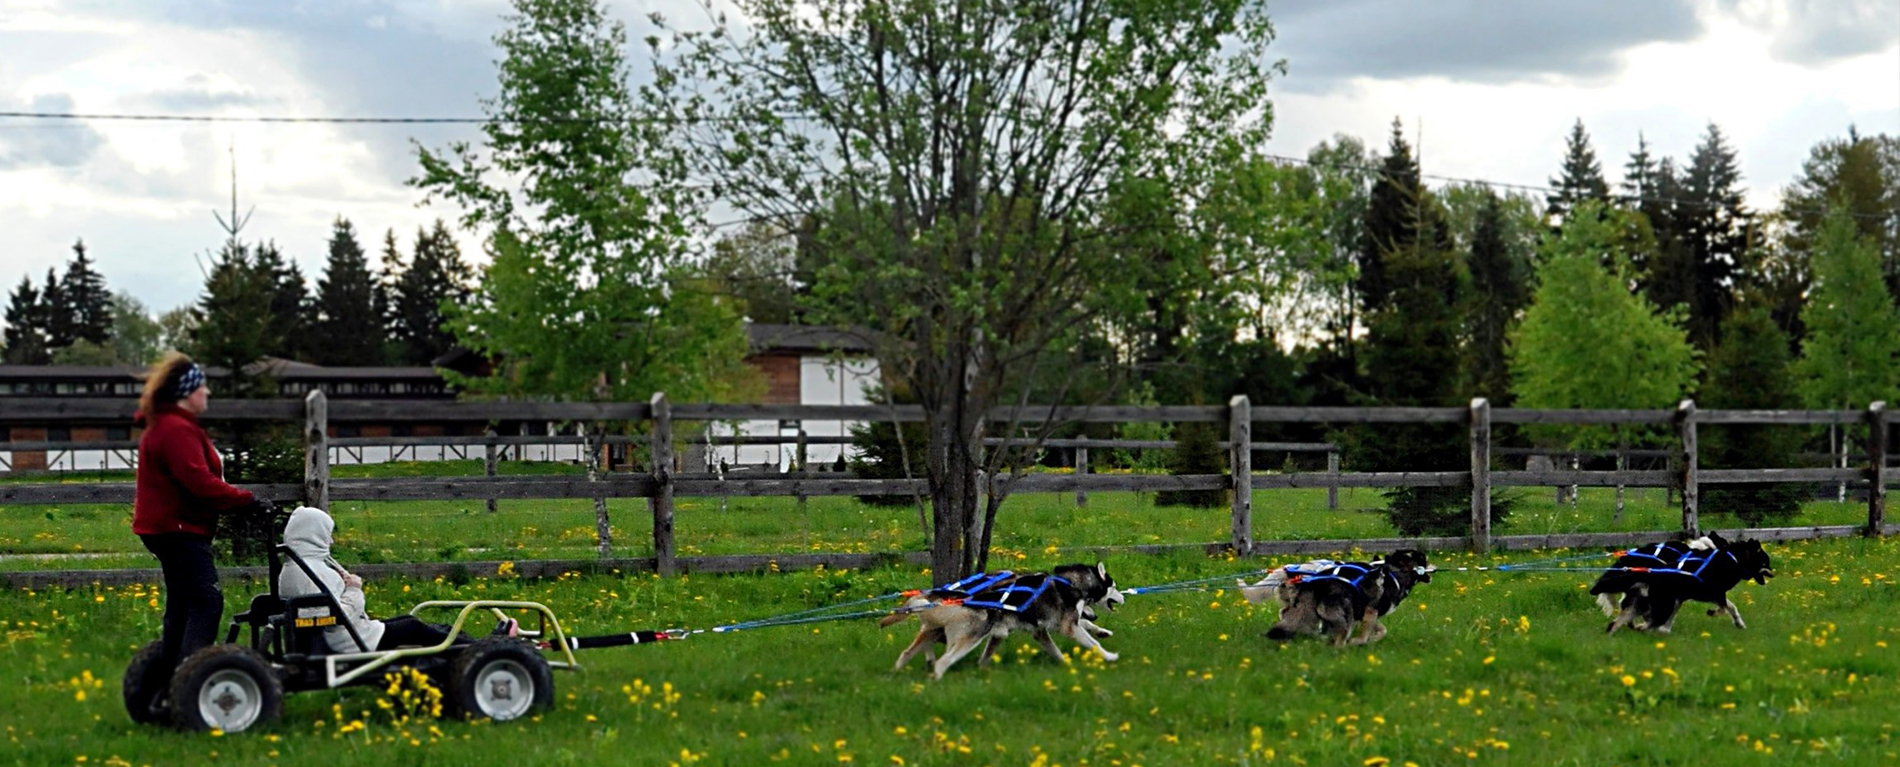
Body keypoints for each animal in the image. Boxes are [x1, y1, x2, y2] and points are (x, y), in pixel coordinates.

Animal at [877, 561, 1124, 675]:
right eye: (1114, 587)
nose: (1122, 598)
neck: (1070, 583)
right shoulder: (1067, 626)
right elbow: (1092, 642)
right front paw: (1109, 656)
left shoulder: (1039, 630)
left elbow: (1064, 644)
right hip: (965, 633)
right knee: (940, 655)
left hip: (935, 630)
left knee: (909, 651)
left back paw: (898, 672)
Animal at [1269, 546, 1428, 649]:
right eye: (1424, 560)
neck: (1395, 572)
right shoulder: (1370, 611)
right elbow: (1373, 633)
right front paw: (1361, 641)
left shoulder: (1366, 613)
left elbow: (1381, 629)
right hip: (1346, 616)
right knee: (1340, 638)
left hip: (1304, 610)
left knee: (1287, 617)